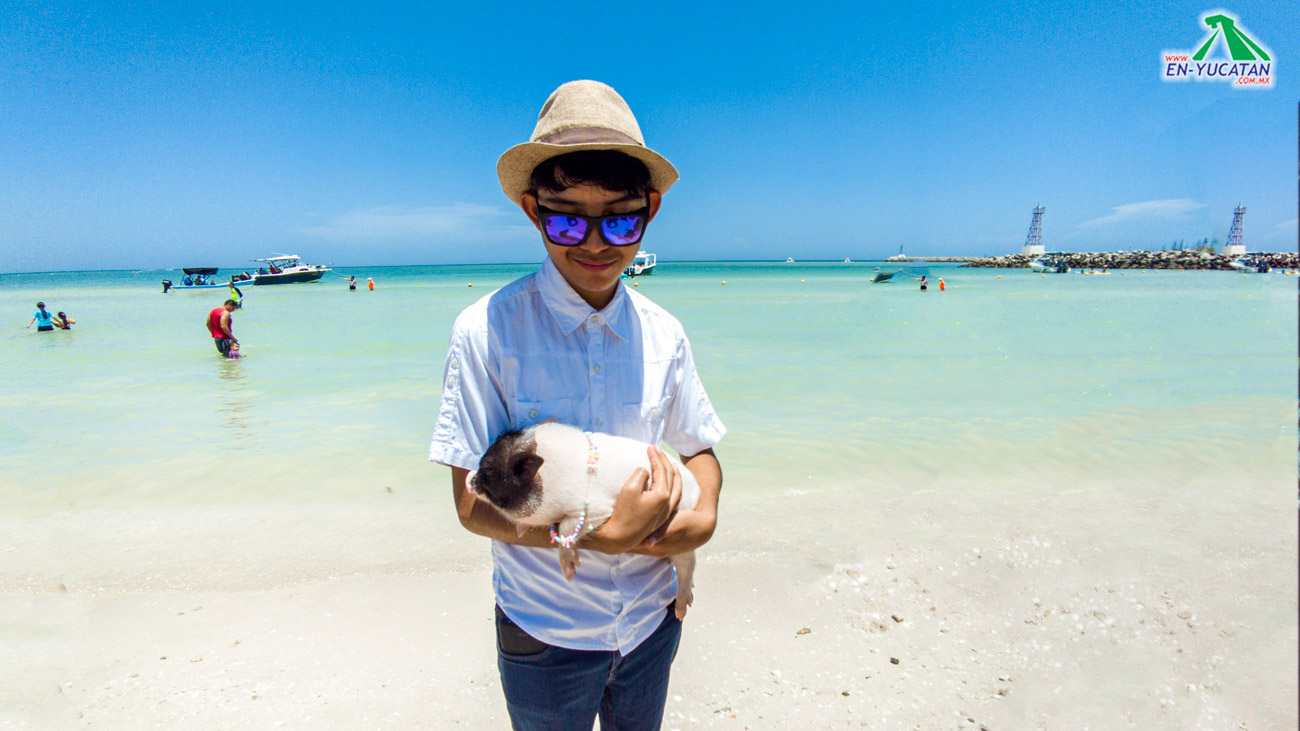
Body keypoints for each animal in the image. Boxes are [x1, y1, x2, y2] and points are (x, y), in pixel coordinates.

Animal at [468, 421, 700, 620]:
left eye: (487, 470)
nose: (469, 479)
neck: (545, 478)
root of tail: (696, 491)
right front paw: (521, 530)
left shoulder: (595, 507)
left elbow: (566, 526)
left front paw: (569, 575)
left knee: (687, 561)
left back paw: (681, 610)